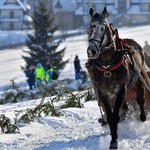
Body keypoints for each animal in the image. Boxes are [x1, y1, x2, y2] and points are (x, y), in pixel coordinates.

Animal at [86, 6, 147, 149]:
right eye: (90, 27)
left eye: (103, 28)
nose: (91, 51)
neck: (107, 65)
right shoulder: (103, 92)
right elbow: (110, 117)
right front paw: (113, 138)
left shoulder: (120, 89)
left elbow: (115, 116)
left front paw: (114, 140)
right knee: (124, 107)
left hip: (138, 79)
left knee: (140, 99)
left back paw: (142, 116)